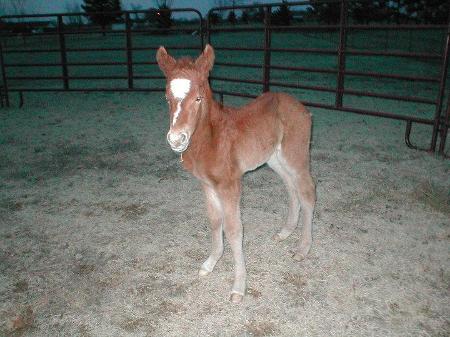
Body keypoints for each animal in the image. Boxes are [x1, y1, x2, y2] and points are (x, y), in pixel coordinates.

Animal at [156, 44, 314, 302]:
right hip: (275, 159)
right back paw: (284, 232)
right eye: (167, 98)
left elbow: (233, 230)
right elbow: (214, 221)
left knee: (308, 192)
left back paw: (302, 248)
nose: (176, 140)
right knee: (292, 189)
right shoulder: (207, 185)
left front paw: (239, 286)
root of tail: (300, 106)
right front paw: (210, 263)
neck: (211, 139)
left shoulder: (230, 185)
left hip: (296, 155)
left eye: (198, 98)